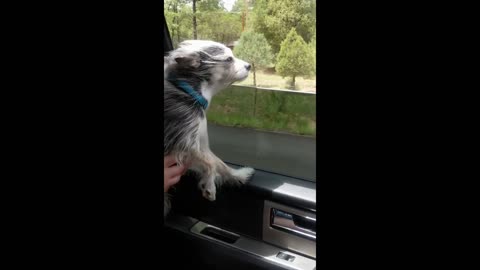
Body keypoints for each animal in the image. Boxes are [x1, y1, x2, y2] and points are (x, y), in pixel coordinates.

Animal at [164, 39, 255, 217]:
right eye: (228, 59)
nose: (249, 65)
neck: (187, 91)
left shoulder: (200, 144)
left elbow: (219, 163)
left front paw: (239, 175)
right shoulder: (184, 145)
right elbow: (211, 164)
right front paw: (209, 186)